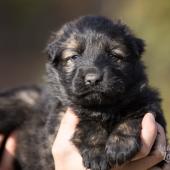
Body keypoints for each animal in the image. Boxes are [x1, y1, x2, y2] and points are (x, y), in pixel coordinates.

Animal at [0, 15, 167, 169]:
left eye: (114, 55)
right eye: (74, 56)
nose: (93, 79)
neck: (103, 108)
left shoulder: (147, 103)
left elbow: (135, 115)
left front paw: (120, 145)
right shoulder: (63, 114)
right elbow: (88, 122)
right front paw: (97, 154)